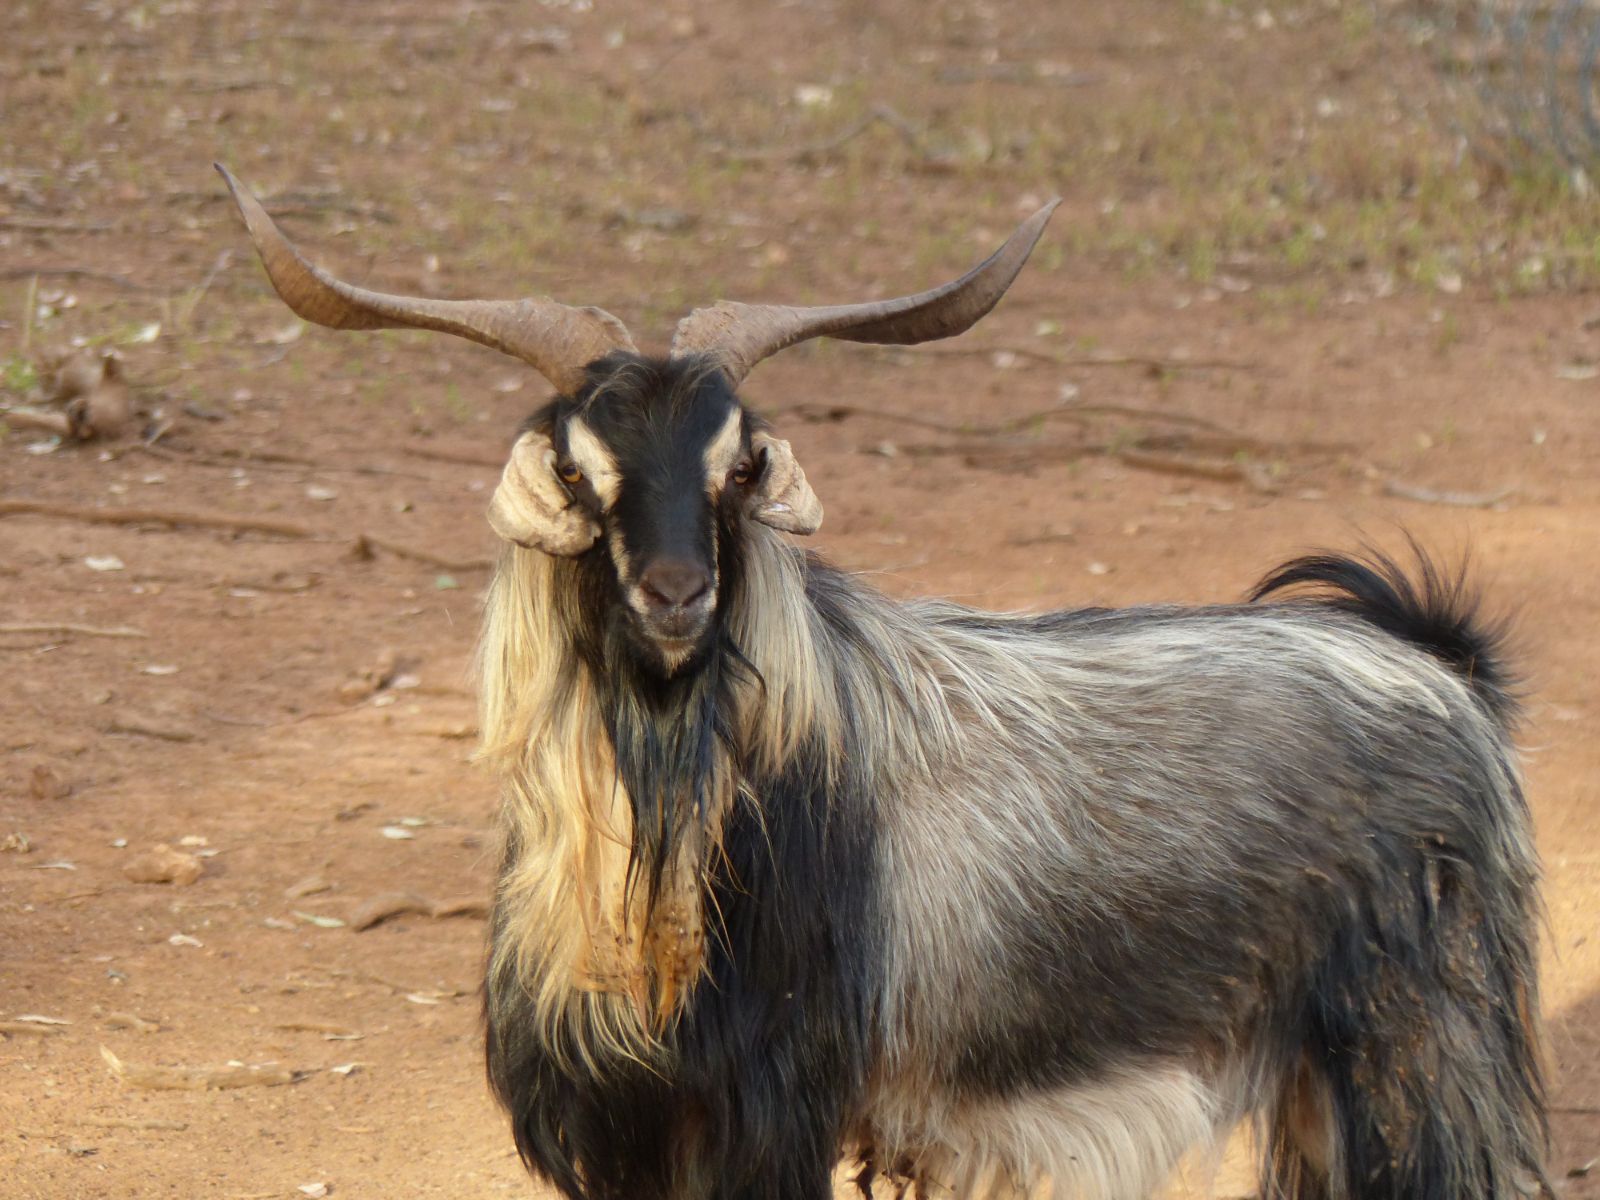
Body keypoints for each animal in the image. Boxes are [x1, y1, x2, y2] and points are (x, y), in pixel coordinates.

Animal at [220, 165, 1547, 1200]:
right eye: (579, 465)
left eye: (738, 464)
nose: (675, 594)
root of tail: (1437, 667)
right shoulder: (627, 1130)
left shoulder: (768, 1110)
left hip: (1422, 1044)